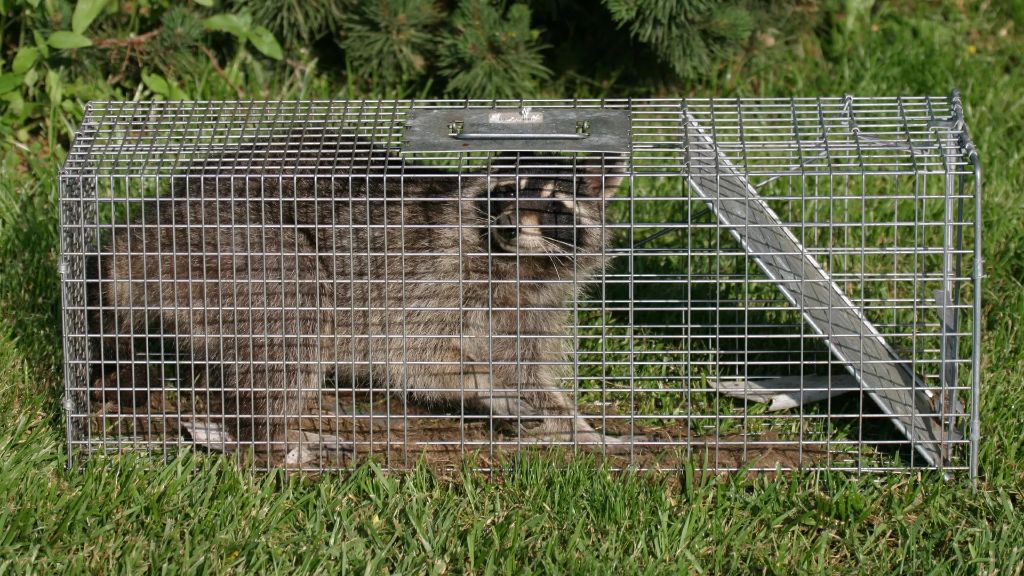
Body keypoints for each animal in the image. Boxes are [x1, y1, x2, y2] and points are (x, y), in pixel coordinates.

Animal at [90, 151, 630, 457]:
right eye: (506, 193)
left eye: (554, 205)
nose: (512, 226)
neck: (520, 260)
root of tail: (146, 230)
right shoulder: (431, 281)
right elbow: (423, 361)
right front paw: (507, 396)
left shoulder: (535, 306)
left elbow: (516, 367)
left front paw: (558, 421)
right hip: (243, 248)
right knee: (299, 312)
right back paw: (276, 436)